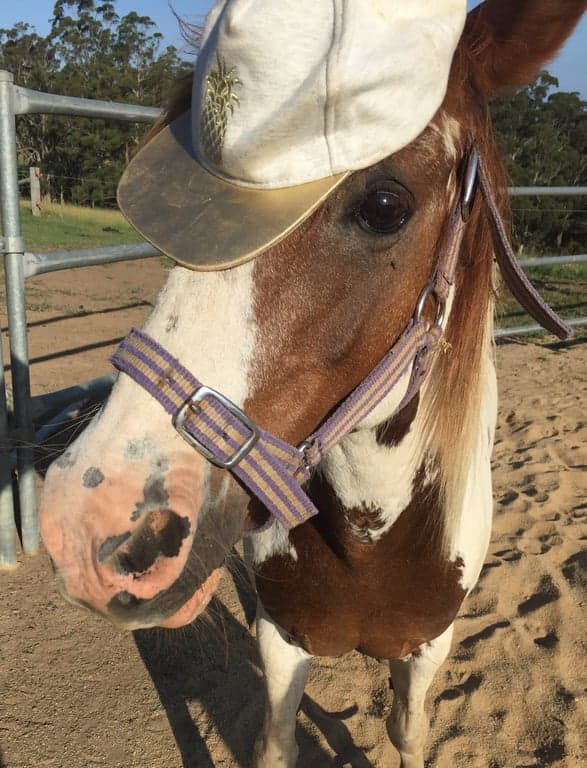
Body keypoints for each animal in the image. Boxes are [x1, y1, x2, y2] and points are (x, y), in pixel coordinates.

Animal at [39, 1, 584, 766]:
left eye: (384, 205)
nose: (91, 522)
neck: (370, 548)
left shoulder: (428, 647)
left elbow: (406, 731)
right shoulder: (280, 637)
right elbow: (276, 738)